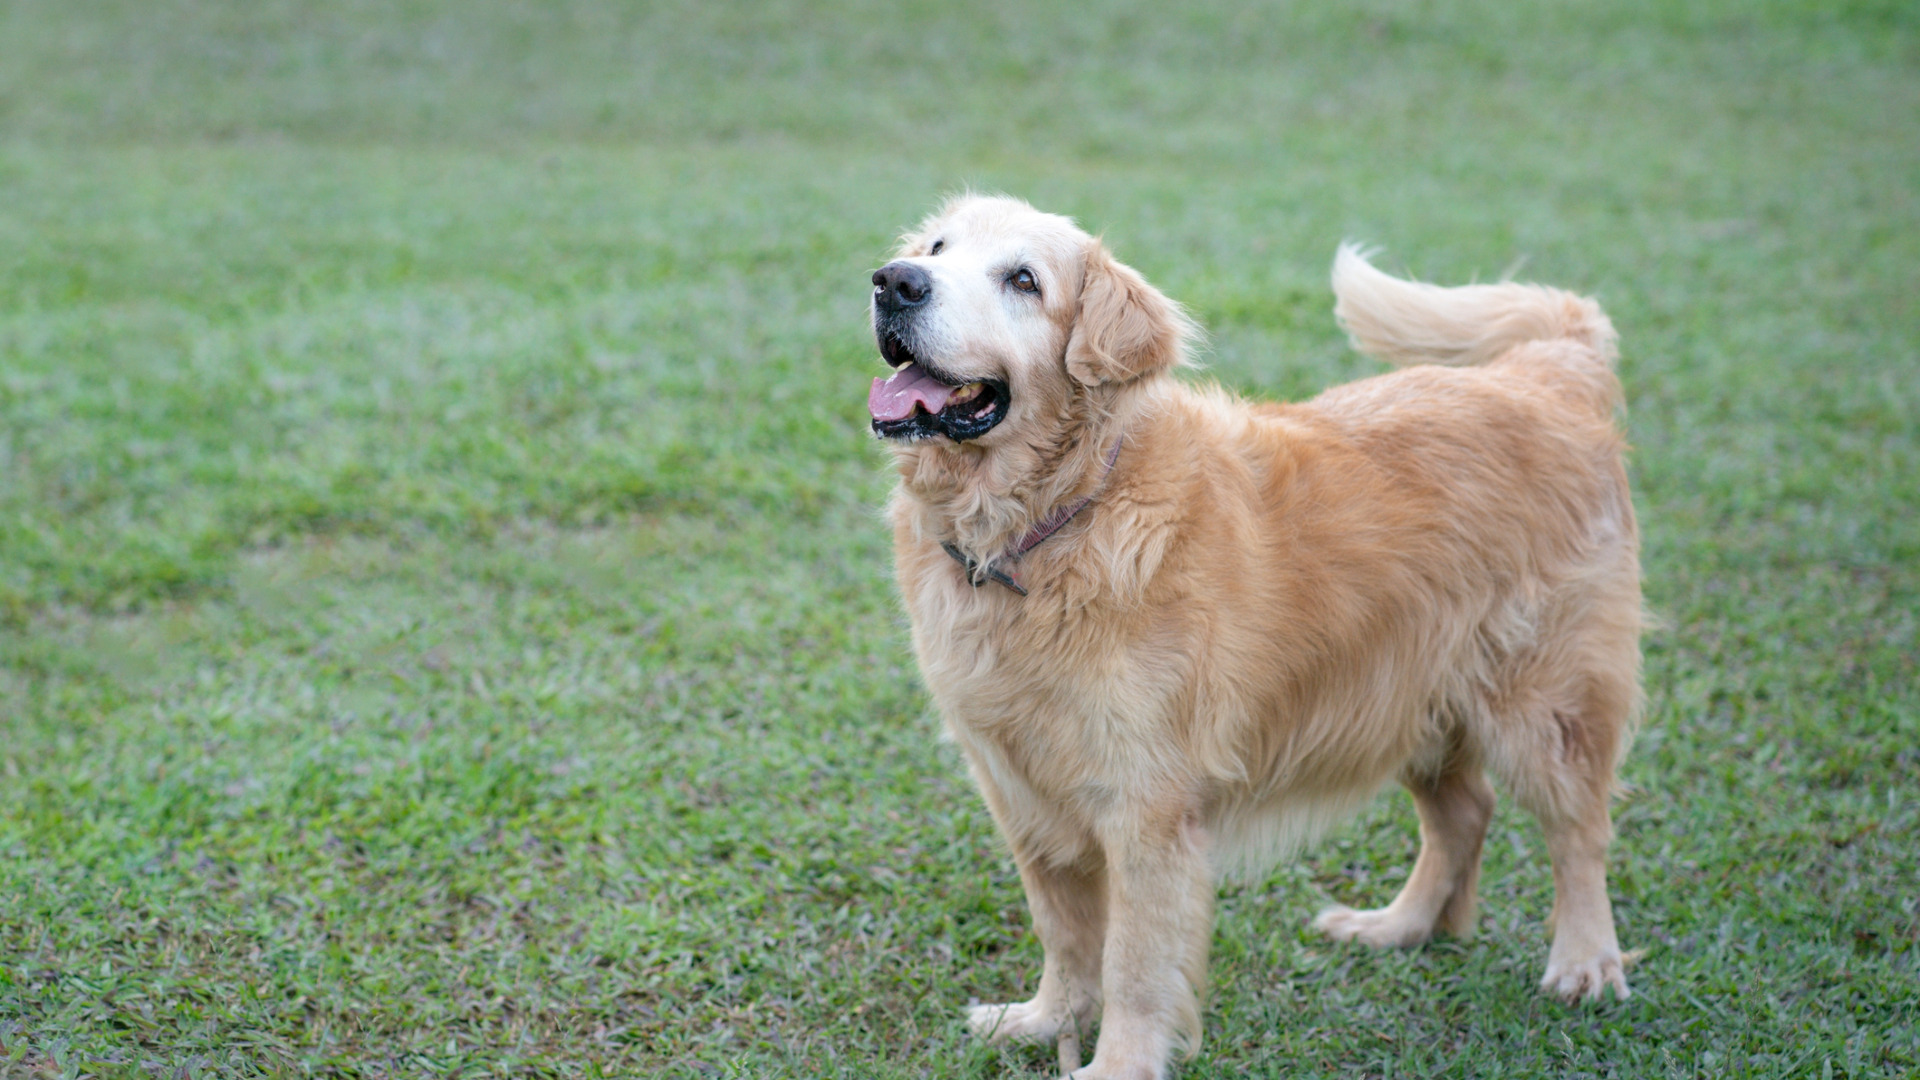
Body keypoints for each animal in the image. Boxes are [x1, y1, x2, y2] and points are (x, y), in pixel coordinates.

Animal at [867, 195, 1635, 1076]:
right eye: (936, 248)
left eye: (1023, 280)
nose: (895, 283)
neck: (1055, 519)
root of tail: (1547, 370)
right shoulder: (1020, 788)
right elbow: (1064, 933)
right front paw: (1045, 1020)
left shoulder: (1146, 806)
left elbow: (1133, 963)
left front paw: (1118, 1063)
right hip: (1410, 692)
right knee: (1465, 813)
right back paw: (1397, 927)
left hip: (1543, 703)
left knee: (1579, 833)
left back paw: (1585, 962)